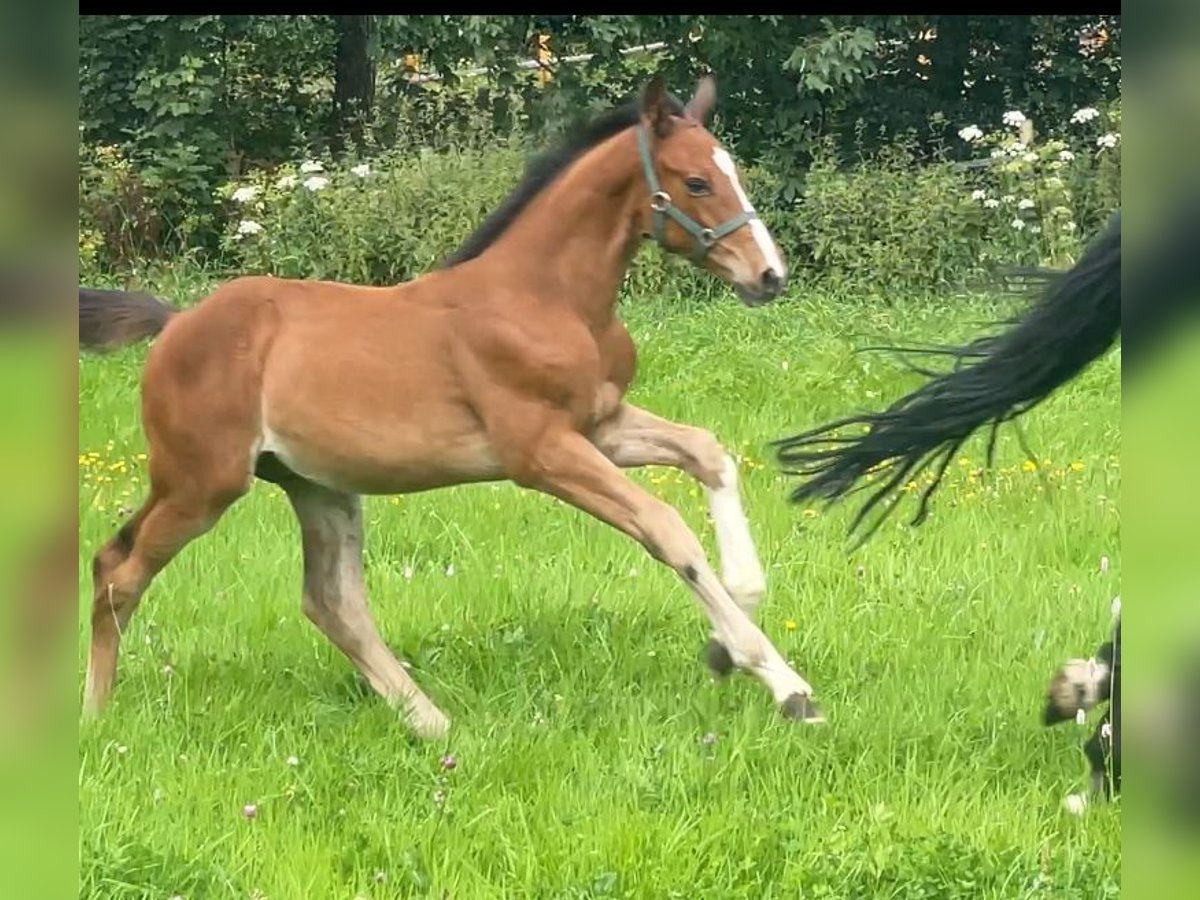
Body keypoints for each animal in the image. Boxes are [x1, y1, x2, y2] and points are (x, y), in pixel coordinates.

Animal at [77, 75, 825, 739]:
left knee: (331, 602)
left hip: (315, 485)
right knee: (117, 569)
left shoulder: (600, 425)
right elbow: (665, 527)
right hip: (201, 481)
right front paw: (781, 680)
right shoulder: (540, 451)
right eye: (696, 182)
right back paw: (95, 717)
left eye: (732, 172)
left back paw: (431, 723)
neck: (546, 297)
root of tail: (176, 323)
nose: (769, 275)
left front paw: (729, 637)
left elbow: (707, 452)